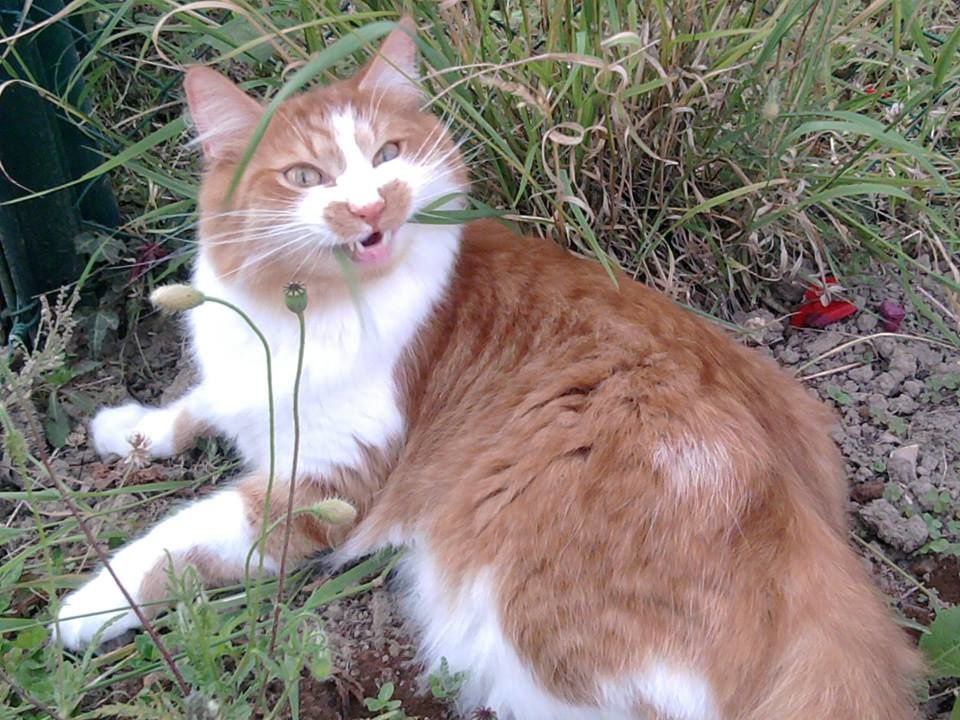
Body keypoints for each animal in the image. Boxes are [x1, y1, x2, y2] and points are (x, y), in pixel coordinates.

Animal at [54, 16, 924, 720]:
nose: (369, 208)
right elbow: (193, 404)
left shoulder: (329, 482)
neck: (297, 313)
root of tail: (816, 543)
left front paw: (80, 609)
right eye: (306, 176)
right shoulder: (250, 381)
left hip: (511, 612)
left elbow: (175, 543)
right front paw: (128, 429)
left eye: (388, 155)